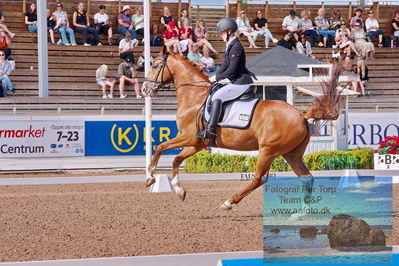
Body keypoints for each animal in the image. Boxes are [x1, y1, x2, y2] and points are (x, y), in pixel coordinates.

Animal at [143, 51, 344, 210]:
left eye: (154, 65)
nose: (145, 89)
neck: (194, 97)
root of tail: (302, 115)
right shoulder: (197, 143)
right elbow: (176, 159)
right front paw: (178, 189)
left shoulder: (188, 137)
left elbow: (160, 147)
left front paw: (150, 176)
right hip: (291, 154)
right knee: (306, 178)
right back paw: (299, 214)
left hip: (268, 151)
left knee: (259, 178)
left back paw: (228, 202)